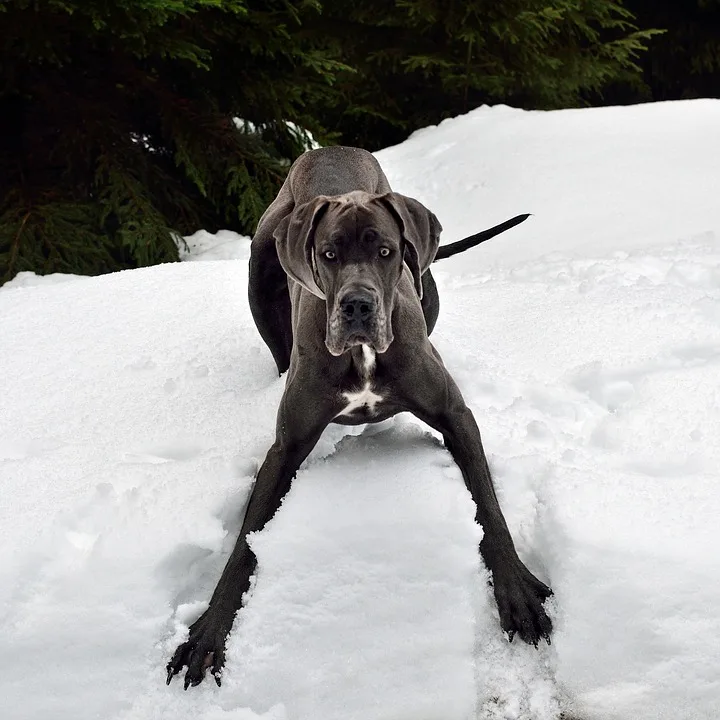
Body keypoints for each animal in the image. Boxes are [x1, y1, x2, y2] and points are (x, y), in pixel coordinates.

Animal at [169, 143, 552, 688]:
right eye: (329, 254)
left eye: (385, 252)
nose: (356, 306)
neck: (362, 356)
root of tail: (331, 147)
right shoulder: (285, 448)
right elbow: (244, 542)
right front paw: (208, 632)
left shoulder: (456, 416)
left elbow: (489, 507)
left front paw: (516, 592)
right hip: (259, 271)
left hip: (427, 284)